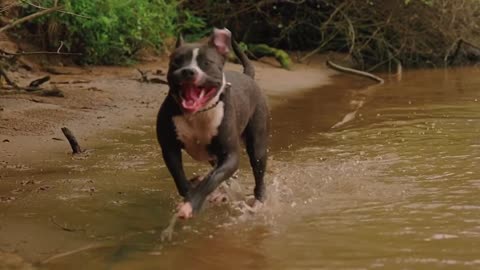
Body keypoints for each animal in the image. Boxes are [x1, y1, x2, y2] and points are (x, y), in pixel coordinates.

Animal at [158, 28, 270, 219]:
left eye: (206, 63)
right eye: (176, 62)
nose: (188, 71)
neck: (198, 113)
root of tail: (247, 76)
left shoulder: (230, 156)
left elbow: (212, 180)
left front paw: (192, 203)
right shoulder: (169, 148)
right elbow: (180, 178)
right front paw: (190, 195)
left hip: (258, 145)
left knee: (258, 172)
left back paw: (257, 203)